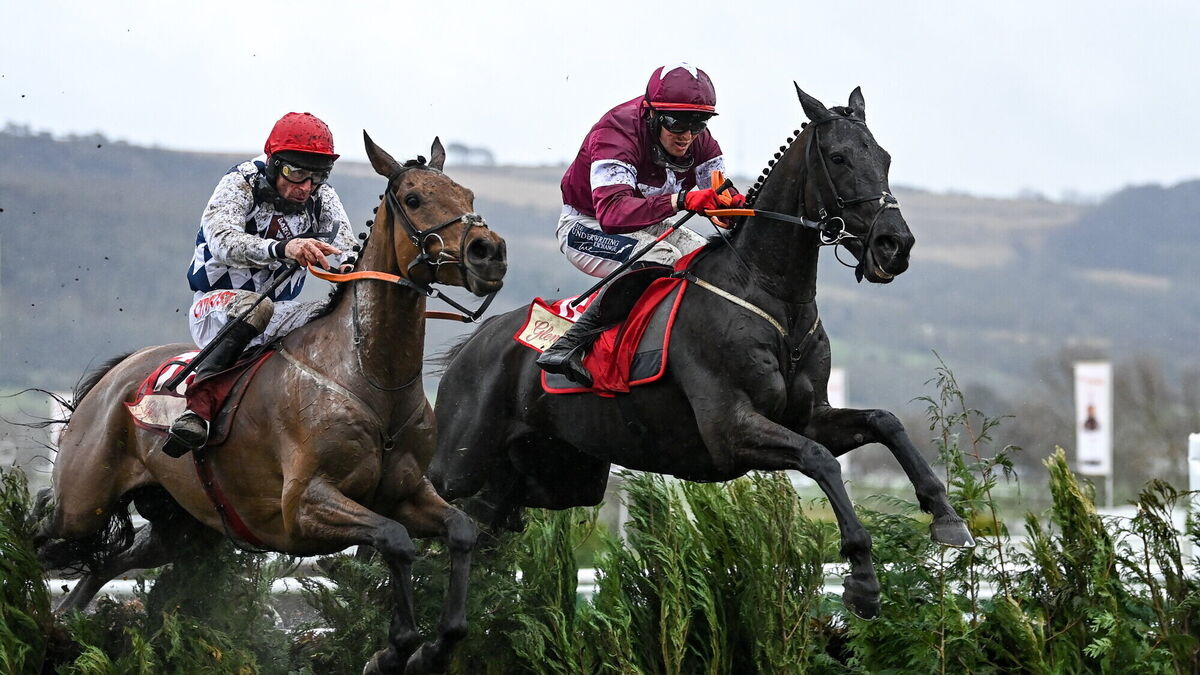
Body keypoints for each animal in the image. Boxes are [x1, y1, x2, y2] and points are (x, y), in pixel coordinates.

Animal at [33, 134, 507, 674]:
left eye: (468, 194)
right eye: (414, 199)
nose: (489, 252)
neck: (369, 376)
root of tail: (116, 376)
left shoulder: (408, 493)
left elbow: (461, 530)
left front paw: (432, 647)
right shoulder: (303, 507)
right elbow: (395, 540)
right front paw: (393, 650)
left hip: (180, 525)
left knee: (107, 561)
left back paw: (65, 623)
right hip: (83, 502)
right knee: (45, 536)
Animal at [428, 86, 975, 620]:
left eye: (884, 156)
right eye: (839, 157)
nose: (894, 245)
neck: (772, 295)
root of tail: (472, 345)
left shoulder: (807, 416)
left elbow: (885, 423)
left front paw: (948, 519)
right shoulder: (729, 429)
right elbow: (819, 460)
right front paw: (862, 578)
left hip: (555, 476)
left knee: (488, 524)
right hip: (459, 464)